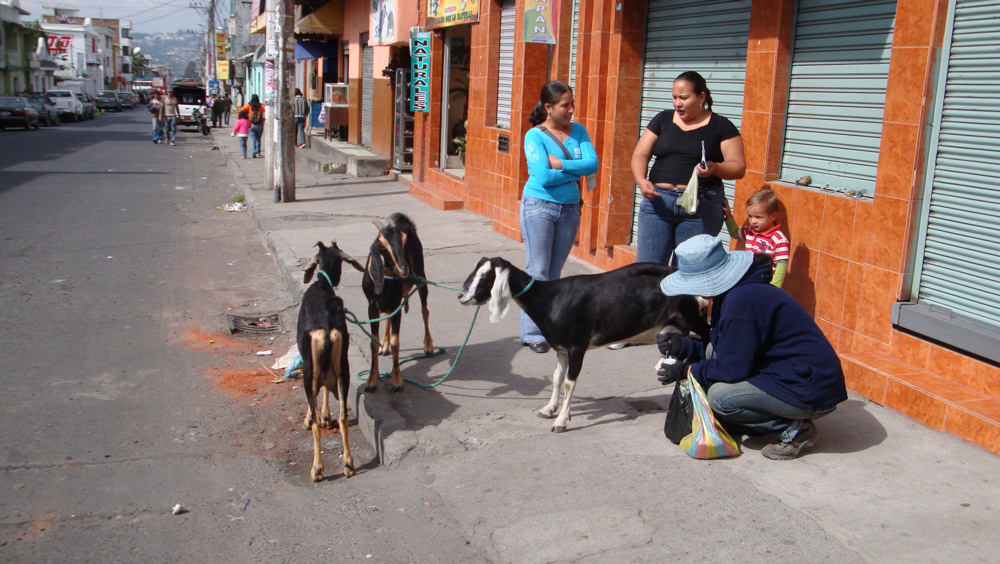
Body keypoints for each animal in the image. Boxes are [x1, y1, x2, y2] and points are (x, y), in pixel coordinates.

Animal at [298, 240, 366, 482]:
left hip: (310, 372)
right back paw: (348, 464)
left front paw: (315, 417)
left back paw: (317, 468)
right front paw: (327, 415)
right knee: (344, 416)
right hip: (343, 368)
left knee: (316, 420)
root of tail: (327, 327)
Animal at [364, 212, 434, 392]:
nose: (404, 268)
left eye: (404, 241)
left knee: (425, 310)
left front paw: (396, 381)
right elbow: (372, 342)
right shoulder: (372, 306)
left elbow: (396, 342)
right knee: (388, 315)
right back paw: (384, 345)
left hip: (421, 276)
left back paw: (428, 346)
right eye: (382, 246)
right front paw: (371, 380)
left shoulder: (396, 305)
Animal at [460, 258, 712, 434]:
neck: (550, 299)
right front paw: (548, 410)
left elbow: (569, 383)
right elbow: (557, 378)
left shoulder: (576, 347)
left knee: (709, 341)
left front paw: (561, 421)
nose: (461, 296)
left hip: (693, 318)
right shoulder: (561, 349)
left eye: (485, 276)